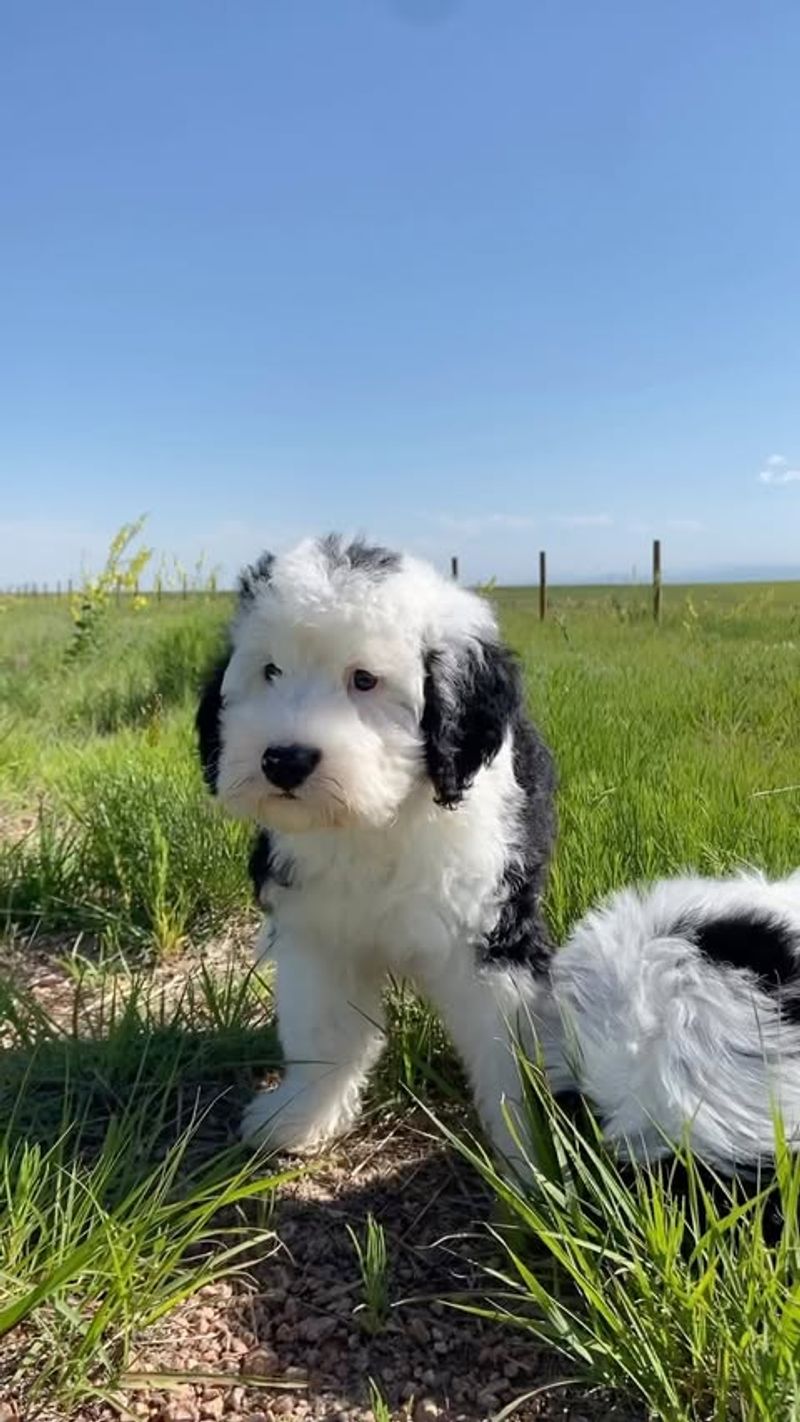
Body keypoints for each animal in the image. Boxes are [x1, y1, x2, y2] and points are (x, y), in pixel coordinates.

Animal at [196, 537, 557, 1160]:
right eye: (271, 670)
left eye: (364, 680)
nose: (284, 760)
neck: (377, 822)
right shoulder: (318, 934)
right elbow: (325, 1033)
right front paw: (302, 1117)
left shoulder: (489, 935)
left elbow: (507, 1049)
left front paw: (531, 1152)